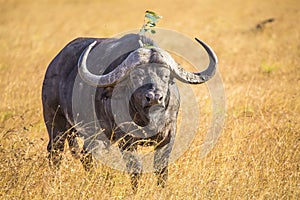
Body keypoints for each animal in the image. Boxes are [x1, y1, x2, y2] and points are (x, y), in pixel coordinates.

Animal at [41, 33, 216, 191]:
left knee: (86, 155)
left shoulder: (168, 135)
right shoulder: (126, 139)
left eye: (165, 75)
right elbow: (135, 168)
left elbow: (161, 169)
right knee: (55, 153)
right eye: (136, 76)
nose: (154, 98)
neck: (148, 119)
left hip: (95, 136)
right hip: (56, 124)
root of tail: (54, 65)